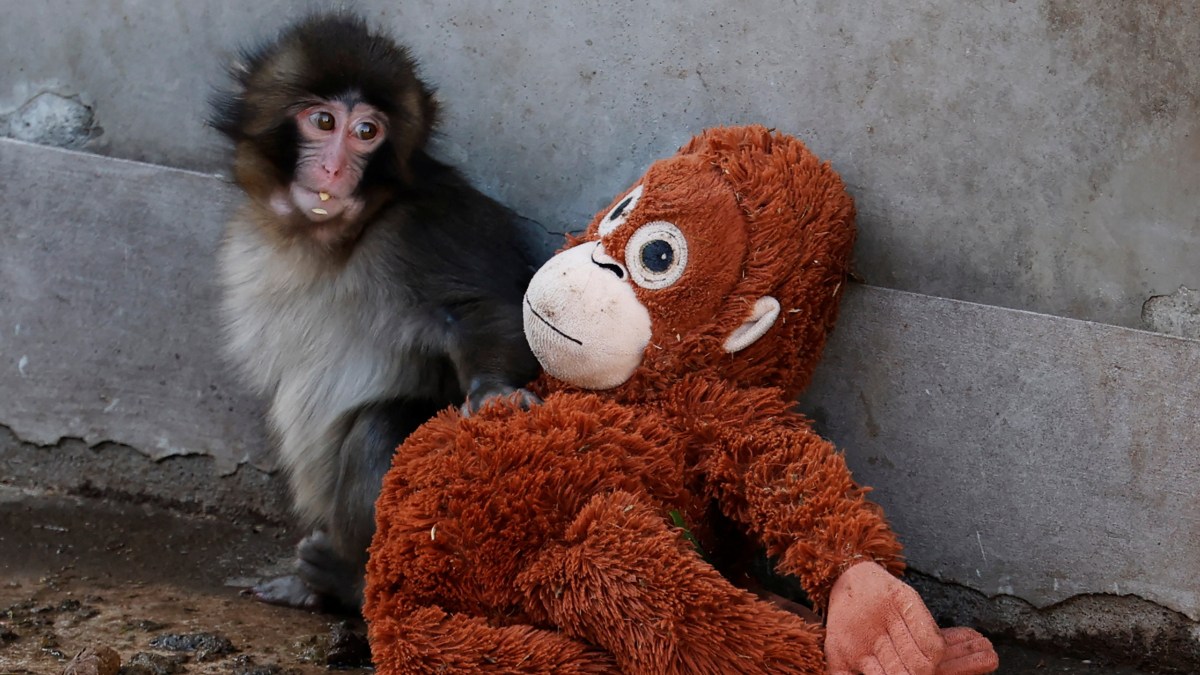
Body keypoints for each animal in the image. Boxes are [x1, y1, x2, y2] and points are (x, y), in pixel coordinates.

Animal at [209, 13, 541, 613]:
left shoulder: (427, 226)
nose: (335, 167)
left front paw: (495, 392)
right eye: (323, 121)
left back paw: (349, 583)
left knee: (379, 429)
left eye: (368, 132)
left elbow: (482, 309)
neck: (331, 239)